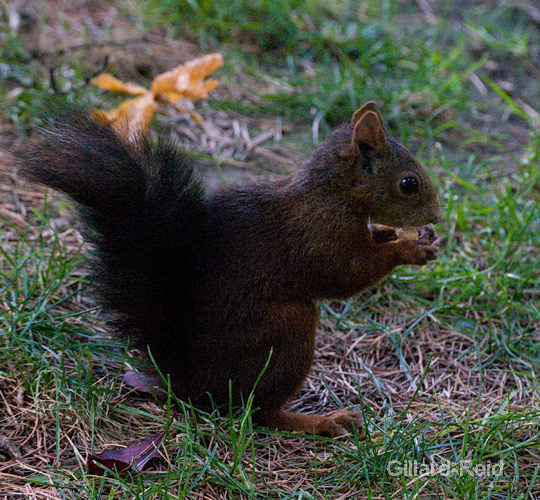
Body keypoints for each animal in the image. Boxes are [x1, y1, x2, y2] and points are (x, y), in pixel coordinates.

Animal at [17, 101, 442, 438]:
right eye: (408, 184)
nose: (437, 216)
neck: (331, 194)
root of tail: (192, 383)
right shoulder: (318, 237)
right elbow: (347, 272)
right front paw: (409, 248)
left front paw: (398, 234)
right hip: (286, 330)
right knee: (258, 411)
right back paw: (319, 422)